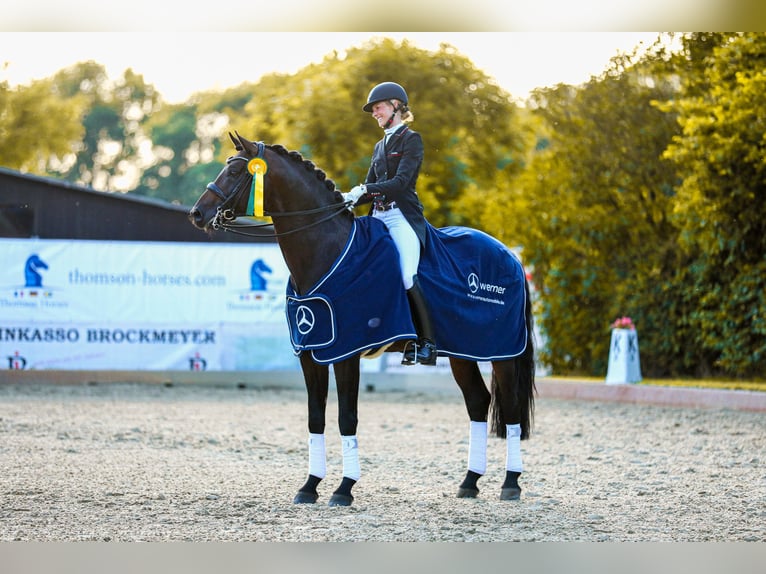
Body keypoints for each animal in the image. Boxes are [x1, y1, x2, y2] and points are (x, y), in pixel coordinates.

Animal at [189, 132, 536, 508]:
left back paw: (511, 484)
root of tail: (510, 255)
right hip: (462, 352)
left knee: (511, 409)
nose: (197, 214)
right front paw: (309, 486)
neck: (326, 251)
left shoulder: (347, 351)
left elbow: (346, 418)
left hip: (503, 352)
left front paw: (343, 489)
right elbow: (315, 416)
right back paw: (470, 482)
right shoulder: (310, 352)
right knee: (477, 401)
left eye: (236, 171)